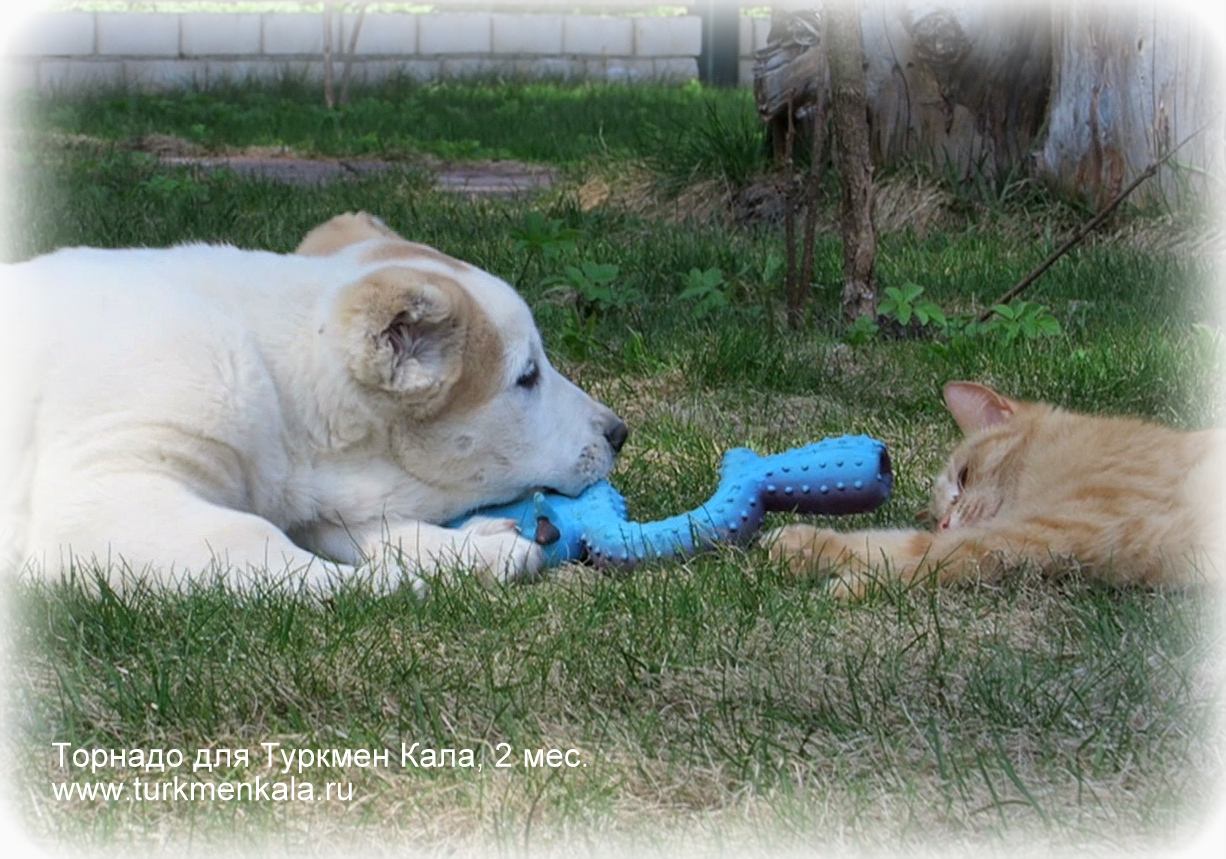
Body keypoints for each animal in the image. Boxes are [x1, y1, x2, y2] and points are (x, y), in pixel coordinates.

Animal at [0, 210, 627, 593]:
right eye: (527, 376)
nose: (619, 433)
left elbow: (356, 527)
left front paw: (471, 549)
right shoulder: (99, 500)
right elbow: (254, 544)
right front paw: (391, 585)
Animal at [765, 382, 1226, 595]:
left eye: (965, 476)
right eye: (937, 514)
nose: (946, 522)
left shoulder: (1070, 528)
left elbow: (924, 551)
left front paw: (829, 563)